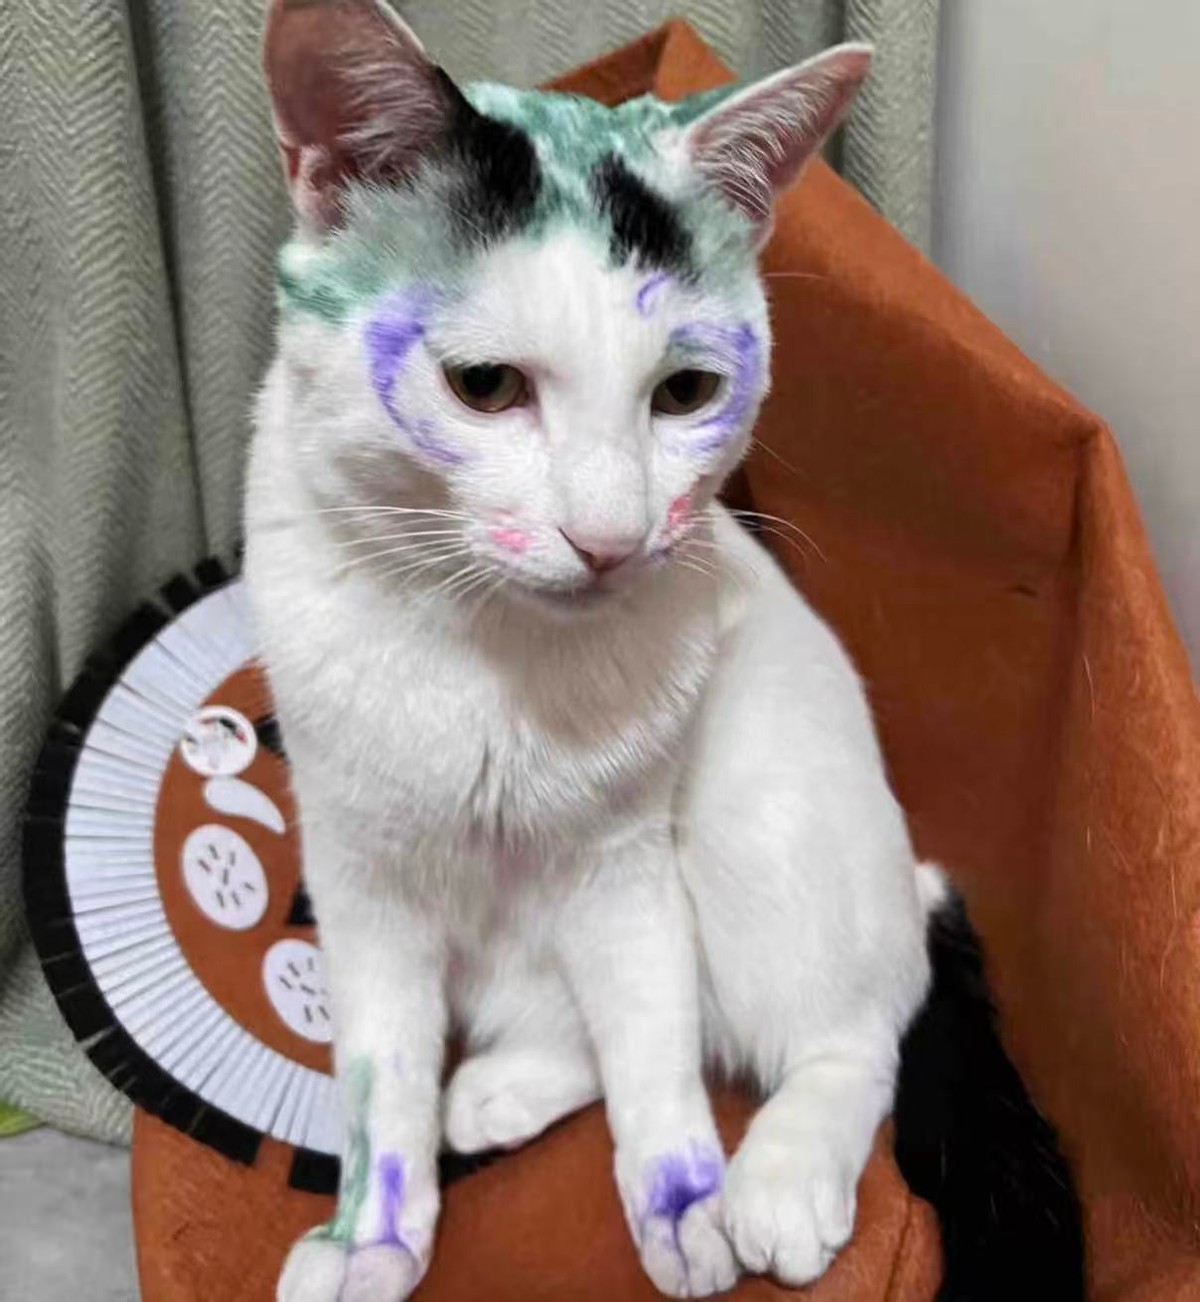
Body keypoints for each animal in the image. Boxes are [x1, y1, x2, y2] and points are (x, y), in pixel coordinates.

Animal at [245, 3, 1084, 1300]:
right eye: (483, 384)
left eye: (687, 391)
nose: (610, 538)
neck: (491, 657)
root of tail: (912, 879)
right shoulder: (361, 880)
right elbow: (383, 1082)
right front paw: (371, 1243)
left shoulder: (623, 861)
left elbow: (655, 1048)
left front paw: (682, 1208)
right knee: (585, 1029)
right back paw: (491, 1094)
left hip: (757, 815)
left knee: (847, 1034)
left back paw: (778, 1179)